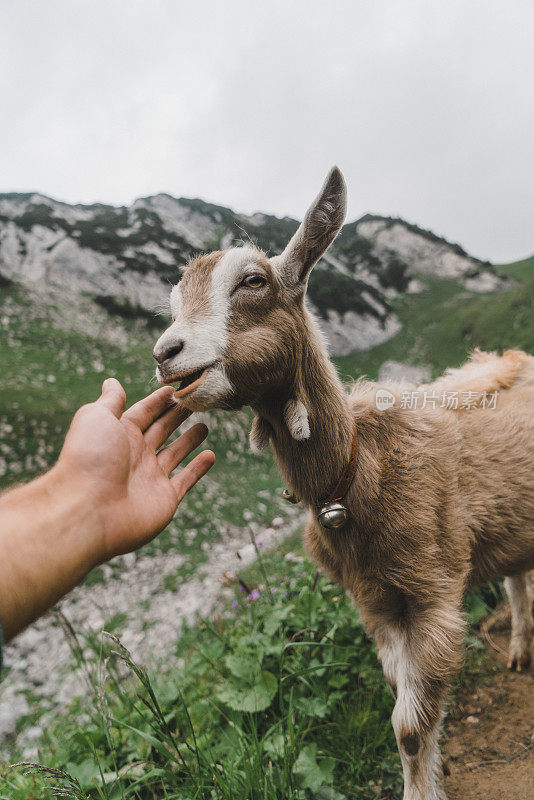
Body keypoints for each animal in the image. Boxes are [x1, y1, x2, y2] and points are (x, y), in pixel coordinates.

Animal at [153, 169, 532, 800]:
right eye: (175, 303)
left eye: (253, 280)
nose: (165, 354)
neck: (358, 474)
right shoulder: (376, 604)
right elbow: (408, 708)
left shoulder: (434, 594)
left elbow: (410, 726)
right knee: (518, 579)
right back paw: (522, 652)